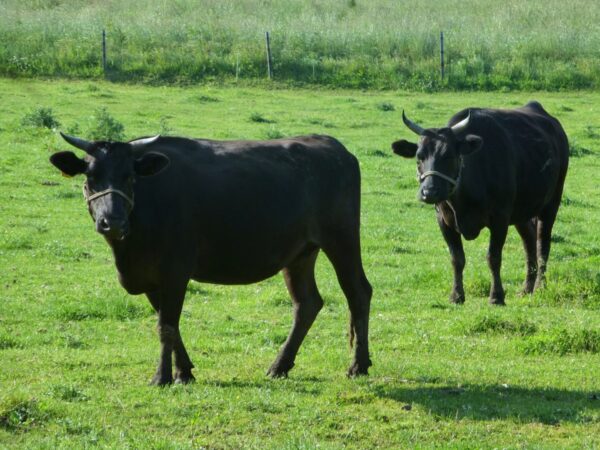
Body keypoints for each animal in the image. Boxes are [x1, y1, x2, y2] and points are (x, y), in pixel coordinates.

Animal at [51, 132, 372, 384]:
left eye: (130, 177)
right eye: (91, 177)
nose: (112, 222)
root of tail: (332, 145)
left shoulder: (175, 270)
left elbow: (166, 326)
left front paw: (162, 377)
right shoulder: (152, 278)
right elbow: (169, 324)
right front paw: (184, 372)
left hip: (341, 239)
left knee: (358, 292)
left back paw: (358, 365)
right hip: (300, 253)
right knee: (307, 303)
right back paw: (279, 366)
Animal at [392, 101, 568, 306]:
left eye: (449, 155)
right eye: (419, 157)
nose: (429, 192)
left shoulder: (500, 218)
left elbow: (493, 257)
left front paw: (496, 296)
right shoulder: (444, 220)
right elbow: (457, 258)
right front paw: (457, 295)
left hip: (551, 204)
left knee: (542, 246)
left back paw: (540, 287)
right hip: (521, 213)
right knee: (529, 242)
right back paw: (526, 289)